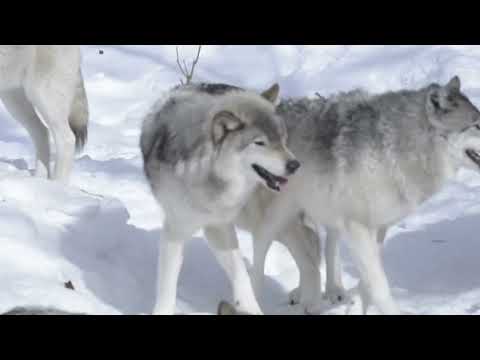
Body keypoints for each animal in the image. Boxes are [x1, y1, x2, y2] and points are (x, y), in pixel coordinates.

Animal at [0, 45, 88, 183]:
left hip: (45, 97)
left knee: (67, 139)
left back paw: (56, 185)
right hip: (13, 100)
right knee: (41, 131)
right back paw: (38, 181)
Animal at [141, 82, 302, 316]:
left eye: (282, 139)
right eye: (260, 143)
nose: (295, 165)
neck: (209, 178)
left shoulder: (219, 226)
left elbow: (241, 275)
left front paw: (251, 308)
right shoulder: (177, 229)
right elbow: (167, 285)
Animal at [249, 77, 480, 314]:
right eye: (477, 125)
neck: (396, 148)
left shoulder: (378, 228)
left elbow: (366, 283)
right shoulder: (358, 228)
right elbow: (379, 286)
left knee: (325, 243)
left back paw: (331, 290)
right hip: (279, 213)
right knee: (261, 246)